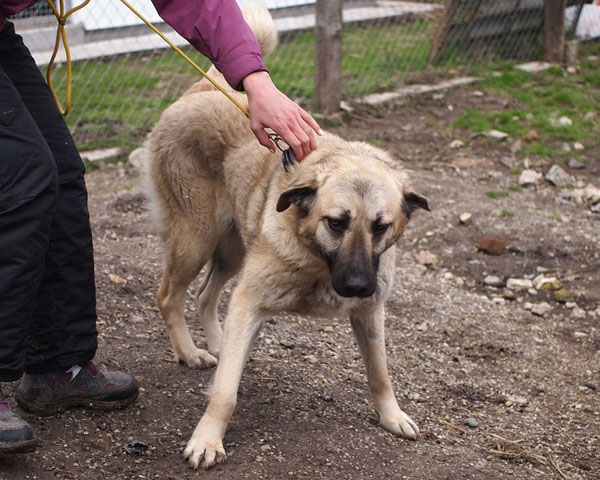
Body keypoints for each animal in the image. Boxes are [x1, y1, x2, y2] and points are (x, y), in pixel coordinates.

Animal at [144, 2, 428, 468]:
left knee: (205, 296)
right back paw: (190, 353)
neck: (317, 260)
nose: (357, 286)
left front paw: (392, 416)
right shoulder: (251, 298)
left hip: (232, 251)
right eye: (337, 222)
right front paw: (207, 440)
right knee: (169, 296)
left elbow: (380, 374)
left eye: (380, 226)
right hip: (196, 240)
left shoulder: (370, 314)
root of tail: (200, 90)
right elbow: (225, 394)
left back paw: (220, 345)